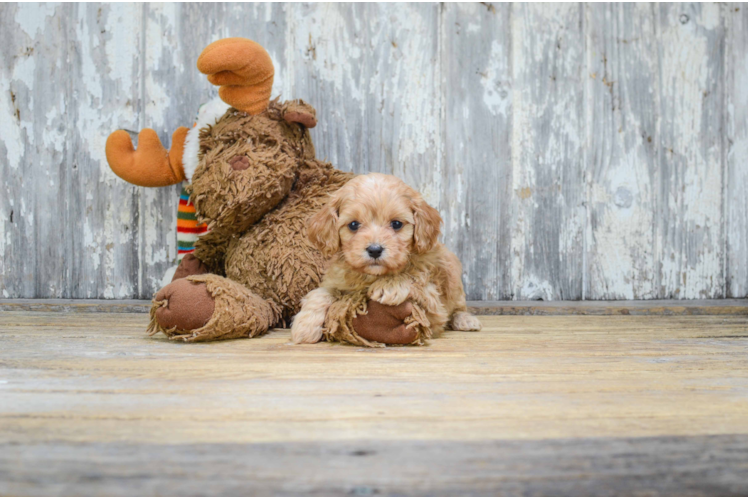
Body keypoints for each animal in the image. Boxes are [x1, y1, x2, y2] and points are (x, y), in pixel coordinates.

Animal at [290, 174, 482, 346]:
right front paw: (305, 326)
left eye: (396, 224)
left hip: (455, 282)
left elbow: (413, 276)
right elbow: (321, 293)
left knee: (459, 308)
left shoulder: (433, 304)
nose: (374, 250)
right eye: (353, 225)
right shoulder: (336, 281)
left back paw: (466, 320)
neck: (372, 276)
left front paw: (389, 285)